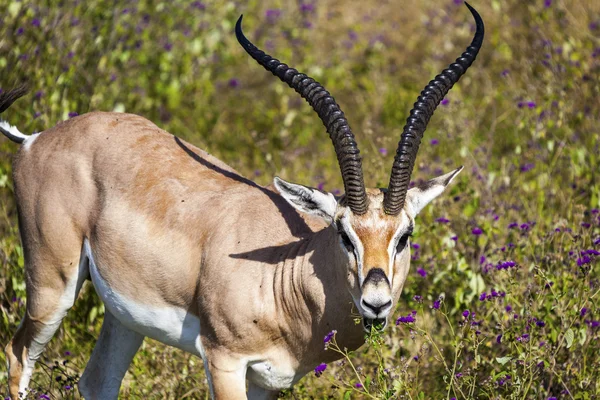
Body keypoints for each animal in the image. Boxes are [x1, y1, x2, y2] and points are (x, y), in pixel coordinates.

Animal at [2, 3, 486, 400]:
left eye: (404, 235)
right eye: (344, 234)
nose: (376, 302)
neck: (284, 273)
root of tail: (37, 138)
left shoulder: (268, 382)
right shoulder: (224, 361)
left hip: (123, 316)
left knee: (97, 381)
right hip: (51, 287)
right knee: (16, 352)